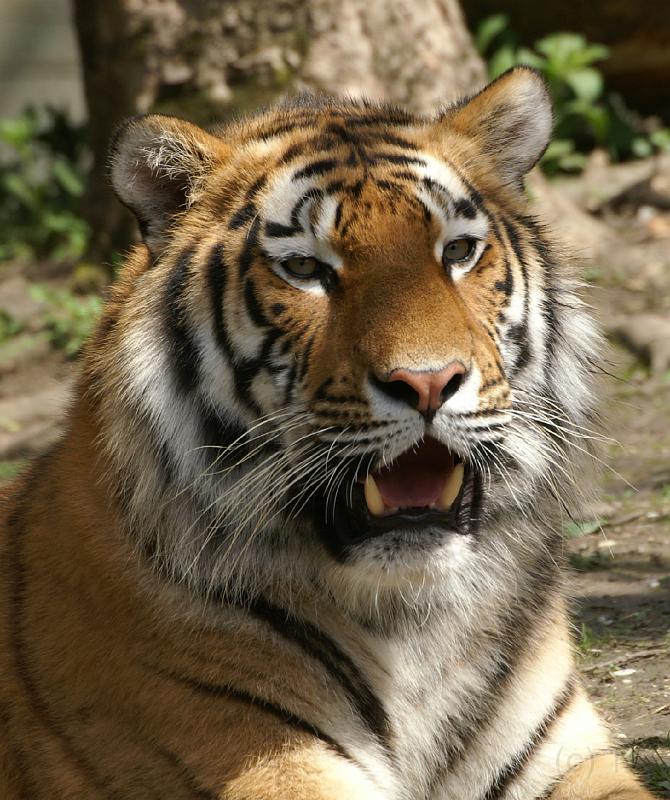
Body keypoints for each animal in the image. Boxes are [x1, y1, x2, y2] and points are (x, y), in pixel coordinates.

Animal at [0, 66, 655, 800]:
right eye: (307, 269)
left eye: (458, 252)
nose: (429, 382)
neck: (413, 623)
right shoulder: (267, 762)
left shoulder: (568, 756)